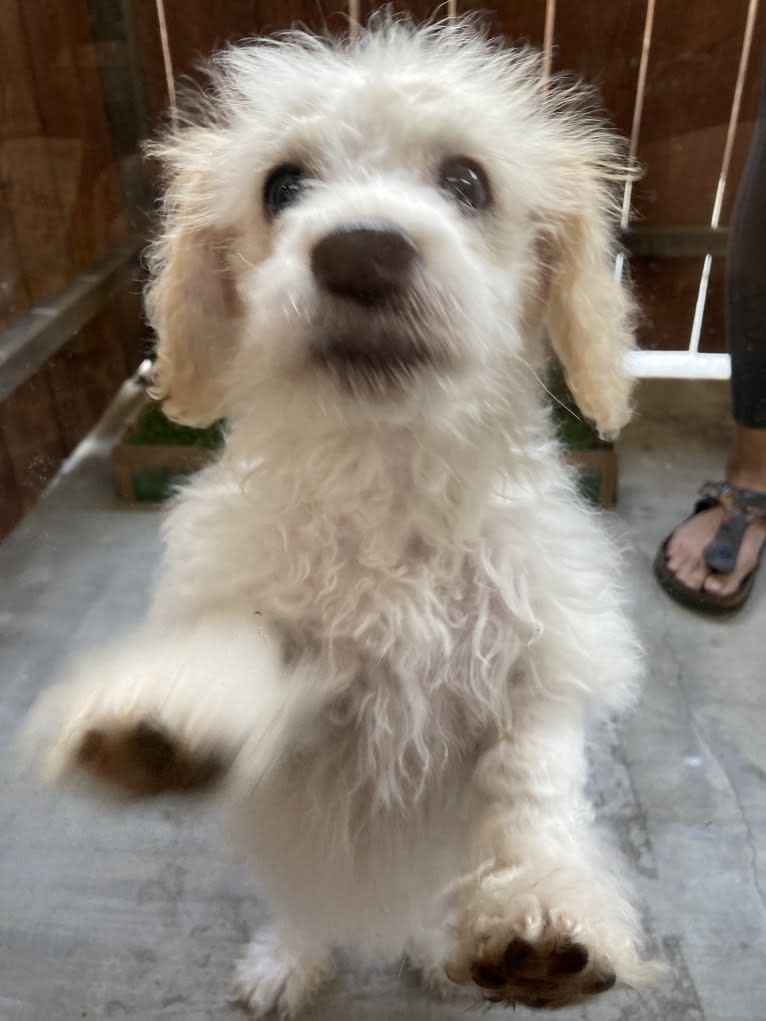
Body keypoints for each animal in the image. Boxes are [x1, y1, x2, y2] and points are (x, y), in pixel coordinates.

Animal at [25, 17, 661, 1021]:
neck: (389, 478)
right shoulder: (306, 694)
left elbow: (529, 778)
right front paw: (172, 704)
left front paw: (537, 902)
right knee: (303, 901)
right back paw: (290, 955)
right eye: (282, 185)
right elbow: (253, 643)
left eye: (467, 180)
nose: (361, 251)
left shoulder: (542, 660)